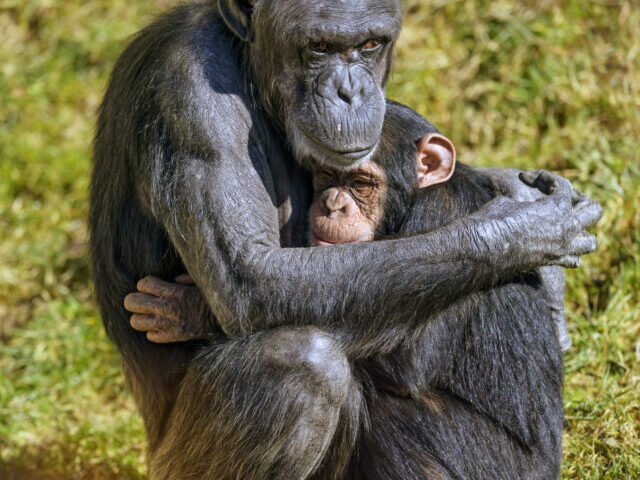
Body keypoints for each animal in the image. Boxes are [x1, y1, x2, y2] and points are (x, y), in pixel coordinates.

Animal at [92, 0, 604, 478]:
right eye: (318, 47)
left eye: (371, 44)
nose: (350, 91)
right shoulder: (192, 99)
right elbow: (248, 275)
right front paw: (523, 228)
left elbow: (407, 361)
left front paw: (185, 309)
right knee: (305, 365)